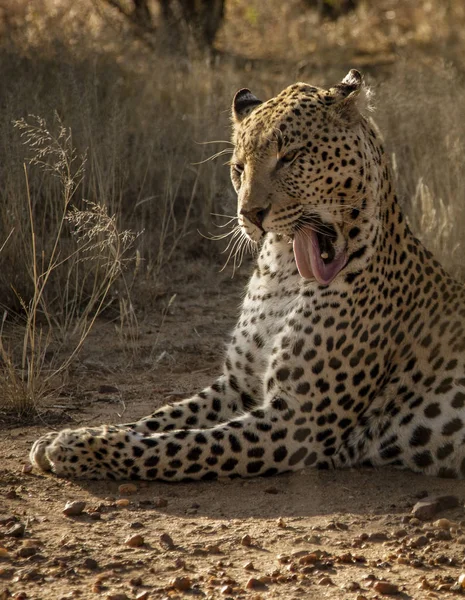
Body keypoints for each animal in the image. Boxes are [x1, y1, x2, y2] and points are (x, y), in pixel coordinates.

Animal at [30, 69, 464, 482]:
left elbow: (178, 446)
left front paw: (79, 447)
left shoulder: (297, 422)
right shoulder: (237, 385)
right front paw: (70, 436)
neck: (284, 276)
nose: (250, 215)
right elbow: (160, 418)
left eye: (290, 157)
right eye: (238, 168)